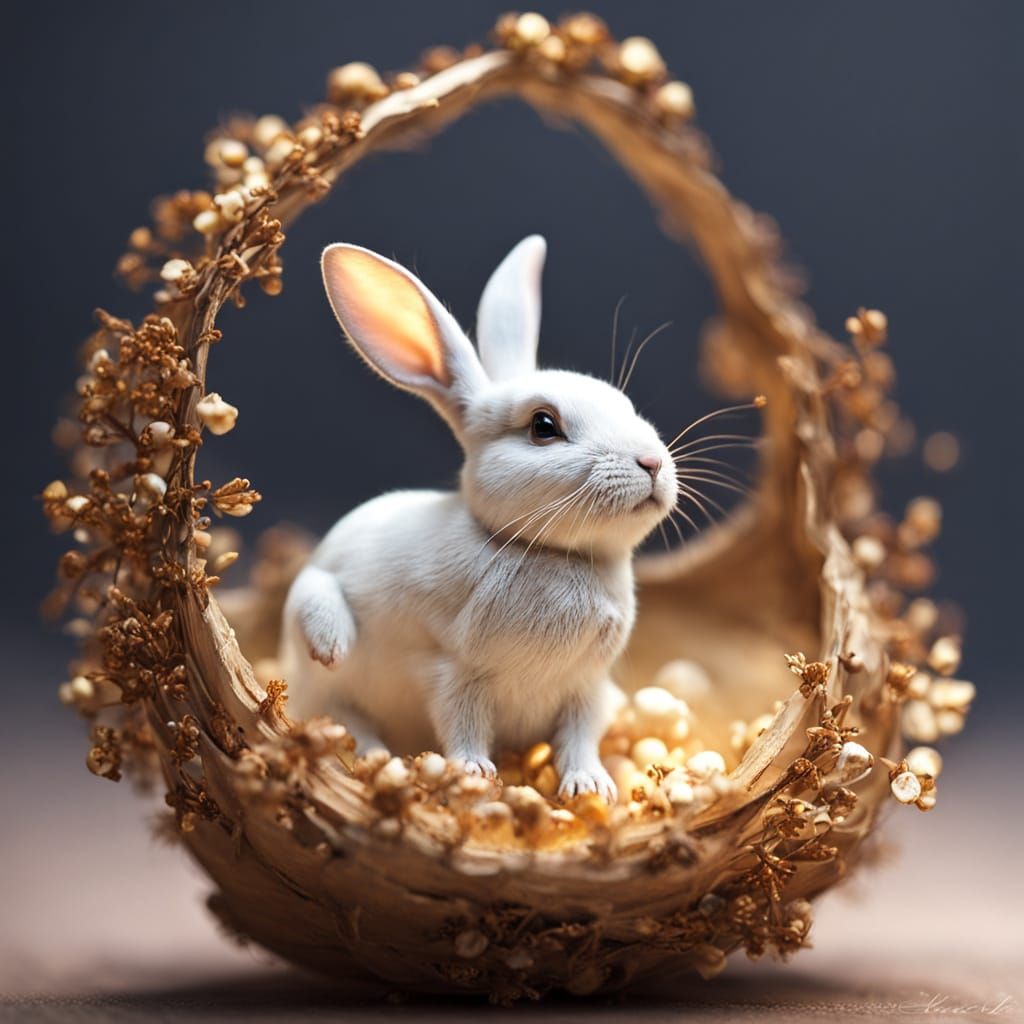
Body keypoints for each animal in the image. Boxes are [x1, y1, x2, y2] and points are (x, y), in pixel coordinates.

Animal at [280, 236, 678, 802]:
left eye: (625, 404)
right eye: (543, 426)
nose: (652, 463)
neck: (553, 552)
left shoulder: (586, 688)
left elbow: (581, 736)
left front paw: (589, 786)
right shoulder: (457, 673)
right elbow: (462, 726)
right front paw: (474, 773)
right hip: (317, 638)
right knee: (337, 694)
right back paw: (365, 736)